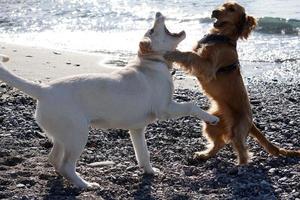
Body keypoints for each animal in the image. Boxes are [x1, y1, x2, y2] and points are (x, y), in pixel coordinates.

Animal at [0, 12, 218, 189]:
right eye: (152, 29)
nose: (157, 12)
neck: (151, 64)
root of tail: (43, 89)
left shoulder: (136, 129)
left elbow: (143, 153)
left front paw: (150, 171)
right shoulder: (165, 109)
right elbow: (191, 105)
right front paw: (211, 118)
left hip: (63, 136)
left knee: (54, 159)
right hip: (77, 135)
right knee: (67, 165)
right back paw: (85, 185)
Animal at [164, 1, 300, 164]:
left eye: (231, 9)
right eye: (222, 5)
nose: (214, 11)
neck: (221, 36)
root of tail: (251, 123)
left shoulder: (208, 66)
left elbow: (189, 55)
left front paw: (173, 53)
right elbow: (190, 54)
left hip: (237, 128)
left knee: (242, 149)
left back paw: (241, 165)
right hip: (211, 122)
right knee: (219, 142)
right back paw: (205, 155)